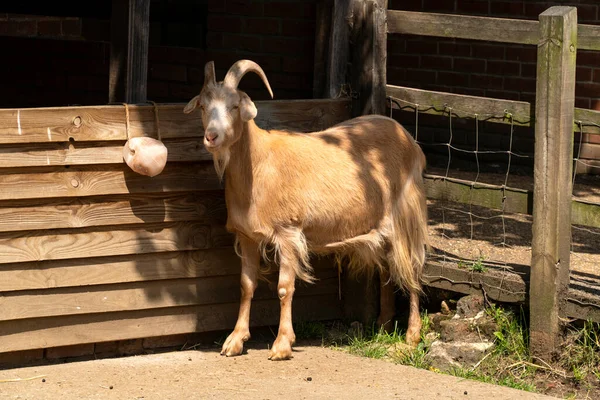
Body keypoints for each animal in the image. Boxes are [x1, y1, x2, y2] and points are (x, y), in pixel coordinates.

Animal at [185, 60, 428, 362]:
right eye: (204, 106)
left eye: (234, 106)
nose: (212, 137)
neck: (258, 163)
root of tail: (408, 139)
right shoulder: (247, 236)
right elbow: (246, 285)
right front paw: (235, 340)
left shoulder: (288, 232)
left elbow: (284, 288)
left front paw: (281, 344)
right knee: (387, 269)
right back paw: (383, 326)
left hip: (406, 216)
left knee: (412, 268)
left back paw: (411, 336)